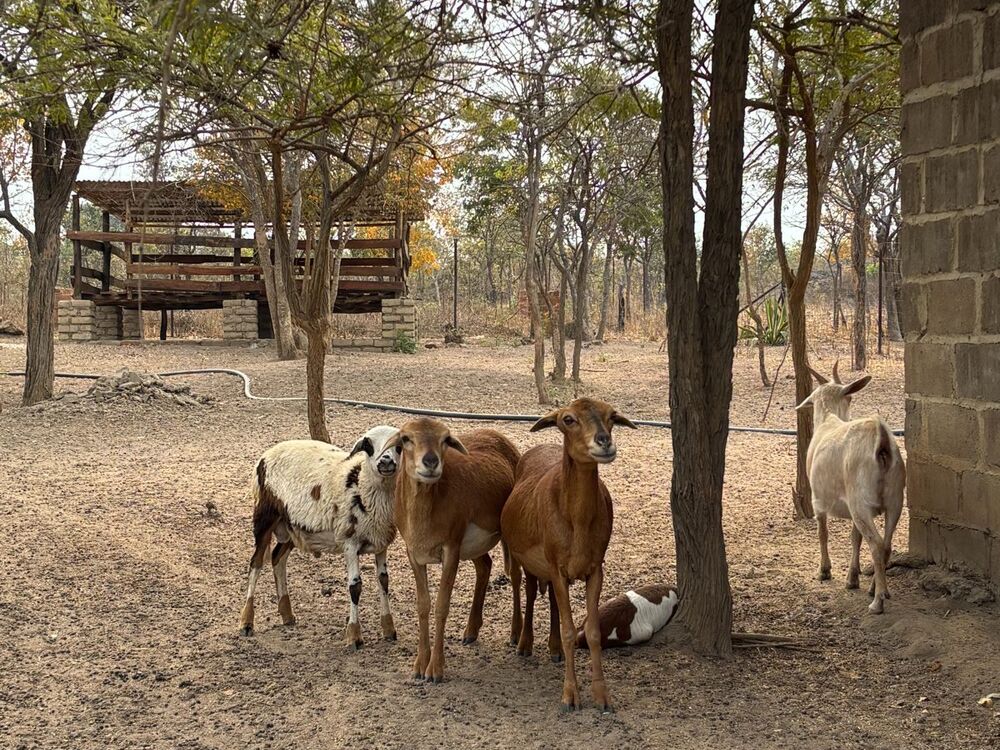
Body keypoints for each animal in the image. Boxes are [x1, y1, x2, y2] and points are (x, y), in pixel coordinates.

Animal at [238, 425, 401, 646]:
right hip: (265, 515)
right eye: (368, 445)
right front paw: (354, 636)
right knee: (256, 563)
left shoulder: (381, 541)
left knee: (277, 558)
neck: (362, 484)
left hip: (291, 526)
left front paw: (389, 629)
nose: (385, 461)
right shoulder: (349, 542)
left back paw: (287, 614)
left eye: (399, 445)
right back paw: (247, 622)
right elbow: (355, 587)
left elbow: (383, 581)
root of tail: (265, 456)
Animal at [390, 417, 521, 683]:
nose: (430, 461)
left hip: (507, 532)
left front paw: (435, 670)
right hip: (474, 545)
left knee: (515, 575)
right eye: (406, 438)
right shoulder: (413, 553)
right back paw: (471, 631)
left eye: (445, 439)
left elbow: (442, 605)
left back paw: (516, 634)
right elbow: (423, 605)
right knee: (486, 565)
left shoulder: (451, 547)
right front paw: (419, 666)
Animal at [501, 397, 637, 712]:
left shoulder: (595, 567)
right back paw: (522, 642)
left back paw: (552, 649)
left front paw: (602, 697)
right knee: (525, 589)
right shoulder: (555, 563)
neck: (578, 524)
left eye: (611, 415)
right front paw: (570, 696)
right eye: (568, 419)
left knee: (548, 596)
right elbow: (568, 630)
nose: (604, 441)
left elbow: (592, 631)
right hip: (524, 556)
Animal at [796, 362, 905, 614]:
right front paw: (852, 578)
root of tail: (882, 443)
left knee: (876, 544)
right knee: (886, 544)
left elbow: (822, 533)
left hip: (861, 501)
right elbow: (855, 537)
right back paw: (877, 588)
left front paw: (824, 571)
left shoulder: (818, 500)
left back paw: (877, 602)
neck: (828, 419)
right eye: (850, 398)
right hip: (895, 500)